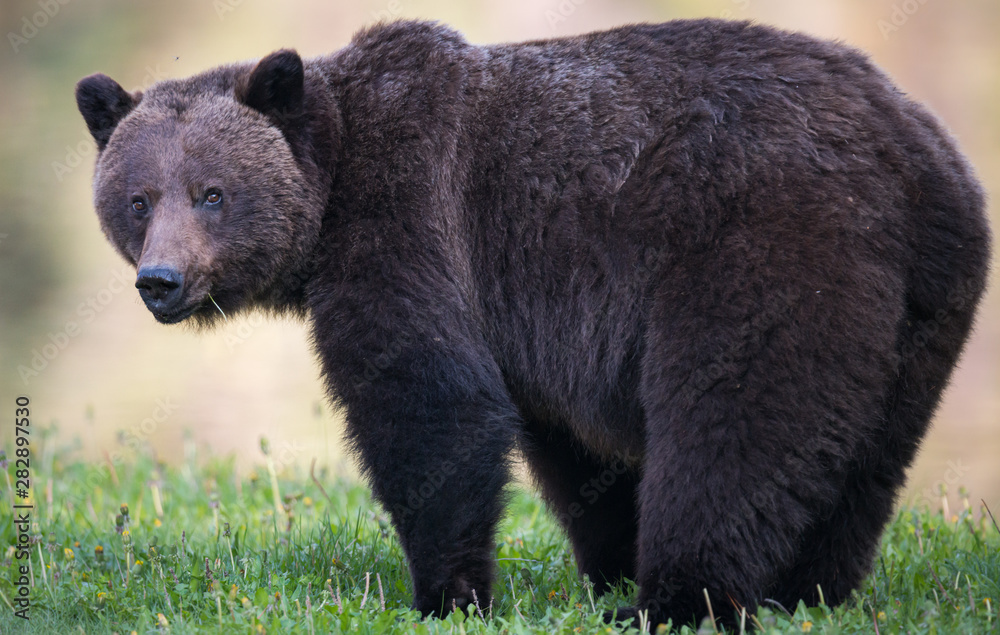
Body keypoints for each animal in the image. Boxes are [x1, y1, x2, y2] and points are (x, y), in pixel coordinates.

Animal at [75, 19, 990, 629]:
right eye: (138, 198)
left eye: (212, 192)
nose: (161, 280)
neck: (331, 192)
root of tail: (916, 153)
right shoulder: (533, 317)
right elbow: (569, 447)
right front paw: (604, 561)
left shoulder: (413, 221)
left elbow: (426, 403)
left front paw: (448, 592)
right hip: (922, 307)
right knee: (864, 455)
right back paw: (810, 587)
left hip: (770, 242)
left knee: (734, 420)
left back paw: (679, 597)